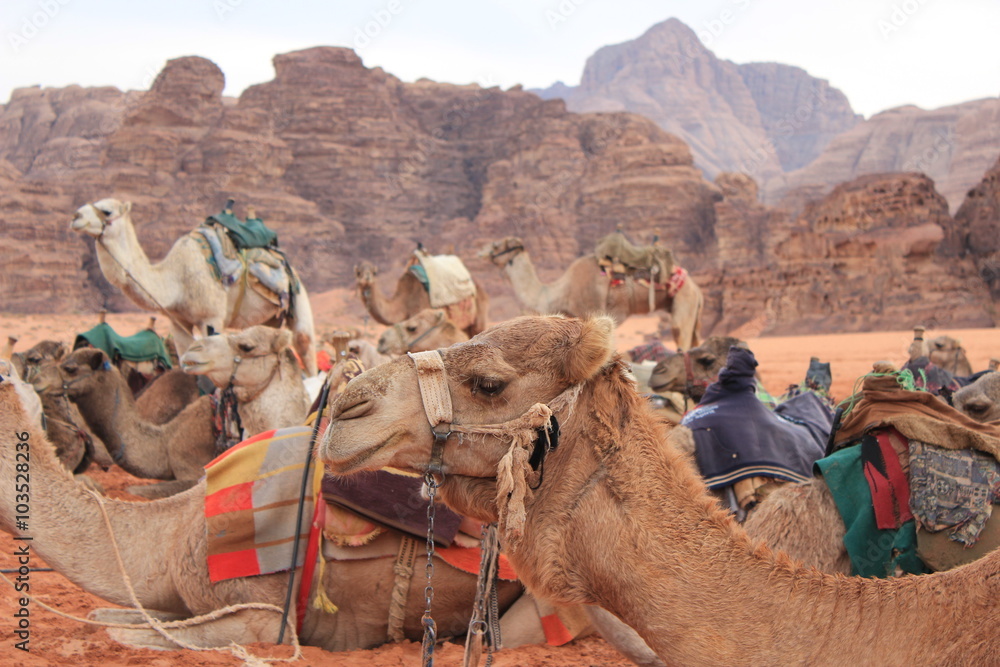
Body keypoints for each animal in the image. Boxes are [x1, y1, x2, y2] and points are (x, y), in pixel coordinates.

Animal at [69, 198, 318, 376]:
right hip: (269, 318)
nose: (75, 216)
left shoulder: (212, 317)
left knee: (305, 348)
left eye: (107, 211)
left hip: (298, 297)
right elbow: (185, 364)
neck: (176, 281)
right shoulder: (178, 322)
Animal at [481, 237, 704, 350]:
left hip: (685, 300)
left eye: (496, 245)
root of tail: (697, 289)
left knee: (682, 342)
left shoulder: (591, 312)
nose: (481, 252)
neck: (558, 293)